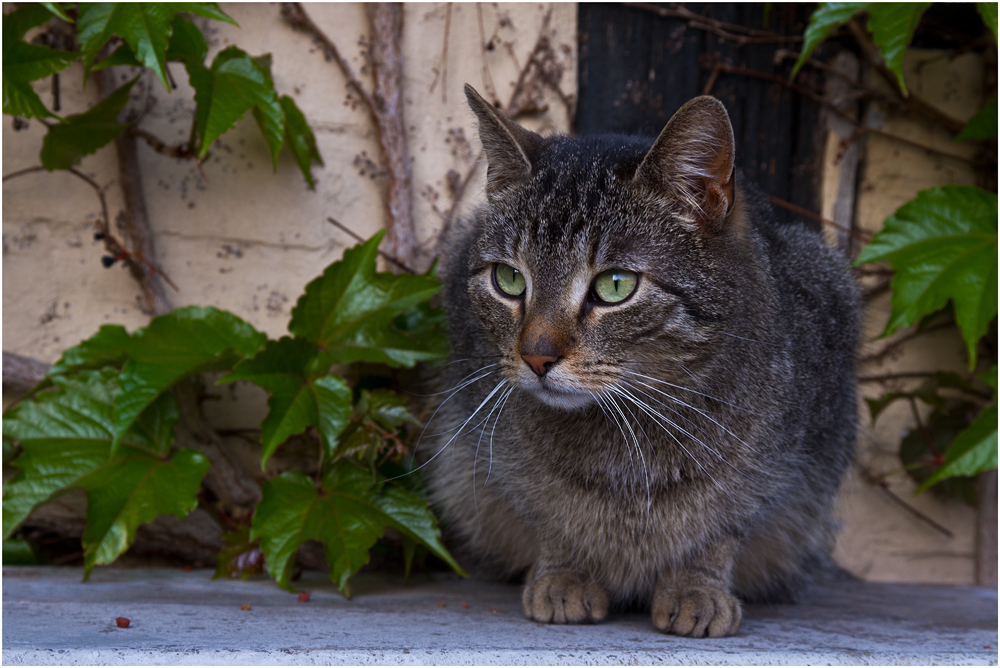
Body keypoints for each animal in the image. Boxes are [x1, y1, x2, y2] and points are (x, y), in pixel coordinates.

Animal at [422, 83, 860, 636]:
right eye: (509, 279)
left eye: (615, 286)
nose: (536, 357)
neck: (627, 440)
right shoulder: (506, 467)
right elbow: (551, 519)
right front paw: (564, 576)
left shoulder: (769, 478)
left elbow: (717, 533)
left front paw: (696, 589)